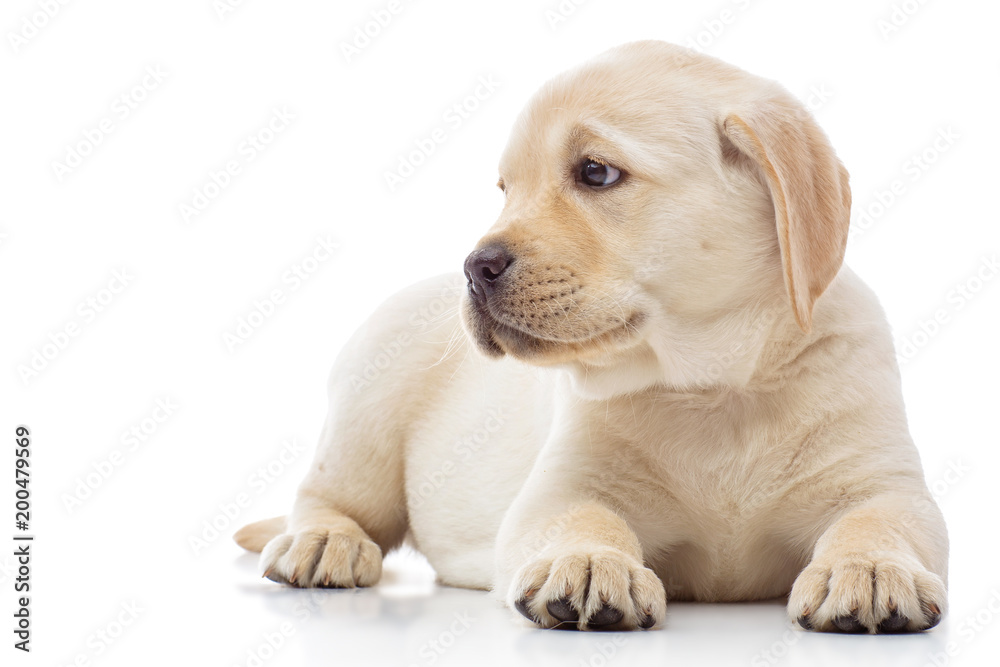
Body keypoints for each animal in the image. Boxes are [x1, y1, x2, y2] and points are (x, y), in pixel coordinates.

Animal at [234, 39, 944, 636]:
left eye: (596, 173)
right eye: (506, 189)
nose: (473, 267)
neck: (712, 386)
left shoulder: (886, 484)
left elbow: (881, 519)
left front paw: (872, 567)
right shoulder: (562, 486)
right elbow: (582, 515)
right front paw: (590, 562)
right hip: (366, 409)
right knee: (325, 499)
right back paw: (324, 541)